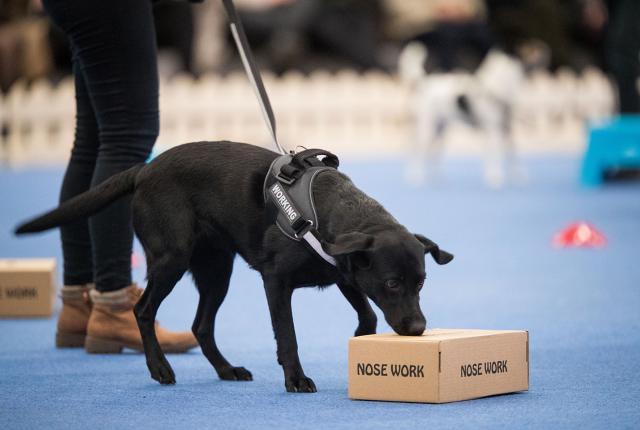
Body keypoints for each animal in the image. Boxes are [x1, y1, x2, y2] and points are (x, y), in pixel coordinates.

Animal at [16, 142, 456, 394]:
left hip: (216, 271)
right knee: (143, 310)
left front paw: (361, 341)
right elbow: (288, 335)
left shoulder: (346, 271)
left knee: (201, 326)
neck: (331, 209)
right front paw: (295, 378)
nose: (418, 328)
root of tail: (144, 169)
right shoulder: (276, 281)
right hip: (172, 258)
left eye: (421, 283)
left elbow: (367, 315)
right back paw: (160, 368)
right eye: (392, 283)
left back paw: (226, 369)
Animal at [400, 42, 524, 188]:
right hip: (427, 126)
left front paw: (517, 175)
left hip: (440, 128)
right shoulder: (492, 129)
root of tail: (424, 84)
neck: (493, 90)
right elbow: (495, 154)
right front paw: (495, 176)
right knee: (418, 150)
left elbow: (512, 152)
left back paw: (435, 177)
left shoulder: (507, 129)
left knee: (431, 152)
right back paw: (416, 176)